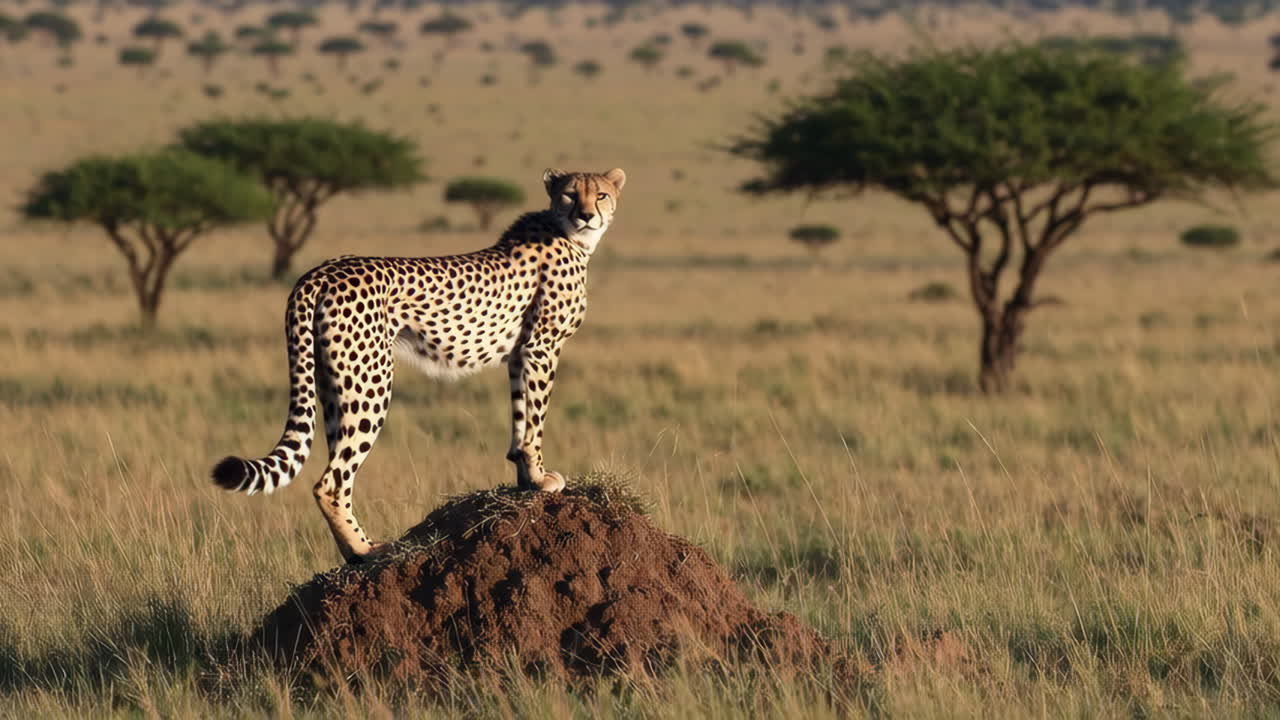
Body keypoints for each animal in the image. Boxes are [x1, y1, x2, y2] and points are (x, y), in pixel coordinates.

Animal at [210, 167, 626, 563]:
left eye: (601, 194)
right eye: (570, 194)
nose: (586, 215)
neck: (569, 235)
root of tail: (320, 271)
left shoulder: (519, 354)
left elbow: (521, 416)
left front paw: (525, 477)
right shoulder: (542, 348)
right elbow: (536, 418)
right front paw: (540, 478)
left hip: (332, 383)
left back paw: (353, 552)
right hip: (371, 381)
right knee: (330, 482)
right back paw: (366, 550)